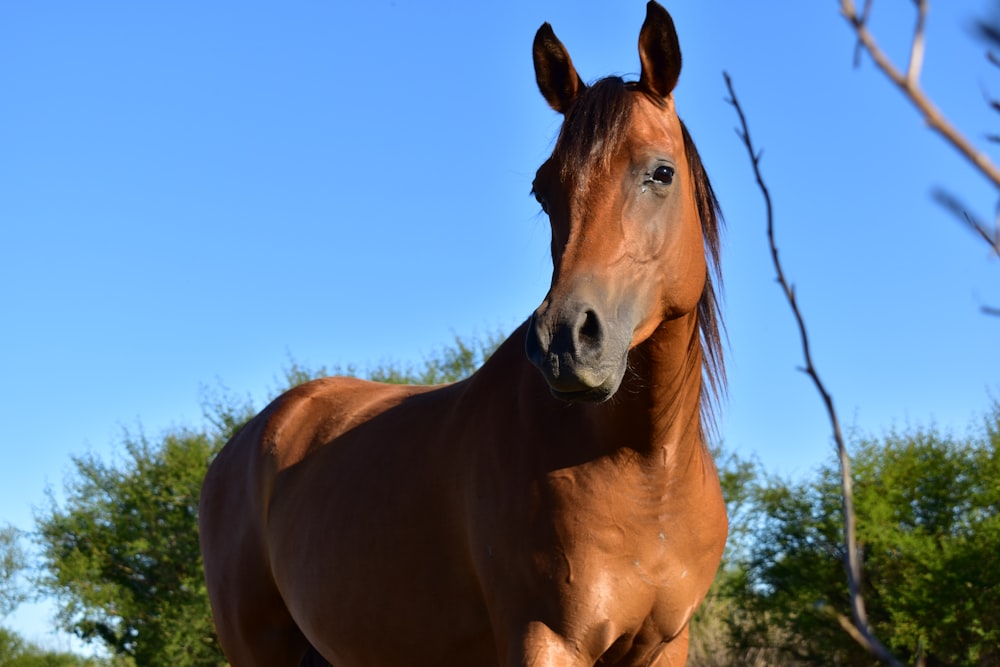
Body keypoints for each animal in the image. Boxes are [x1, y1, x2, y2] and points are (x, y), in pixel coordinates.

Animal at [197, 2, 728, 664]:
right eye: (543, 188)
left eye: (661, 172)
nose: (564, 342)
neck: (645, 467)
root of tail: (245, 444)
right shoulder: (545, 637)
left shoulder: (665, 644)